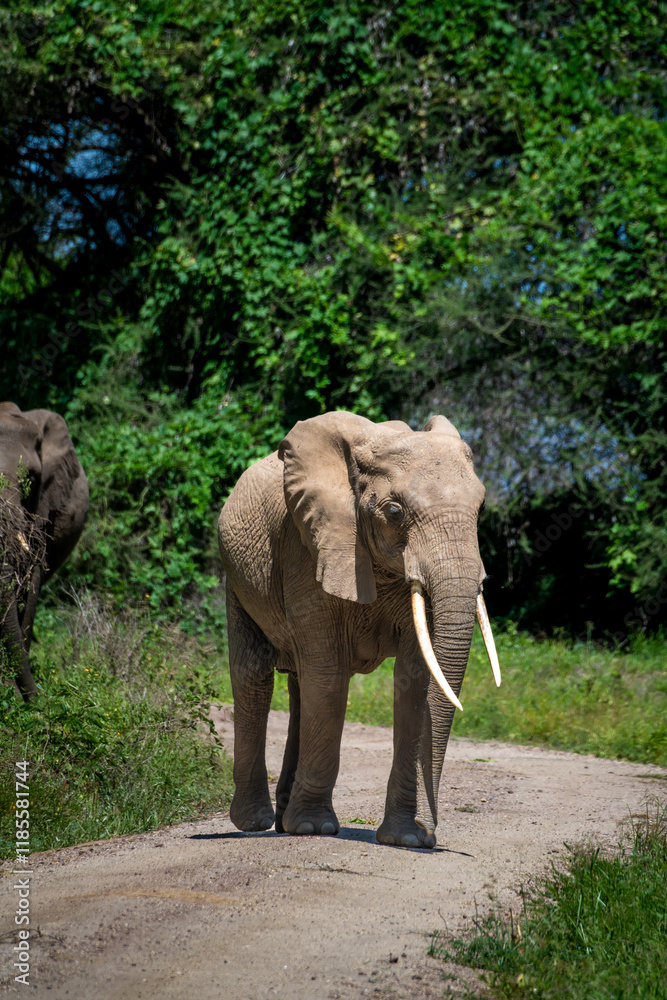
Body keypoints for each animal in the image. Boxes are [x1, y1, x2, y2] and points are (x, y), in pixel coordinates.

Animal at [218, 411, 500, 848]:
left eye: (482, 509)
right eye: (395, 512)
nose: (430, 830)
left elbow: (415, 677)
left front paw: (406, 839)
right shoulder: (305, 546)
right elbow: (330, 677)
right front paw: (314, 829)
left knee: (300, 682)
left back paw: (283, 821)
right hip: (236, 576)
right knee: (256, 674)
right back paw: (256, 822)